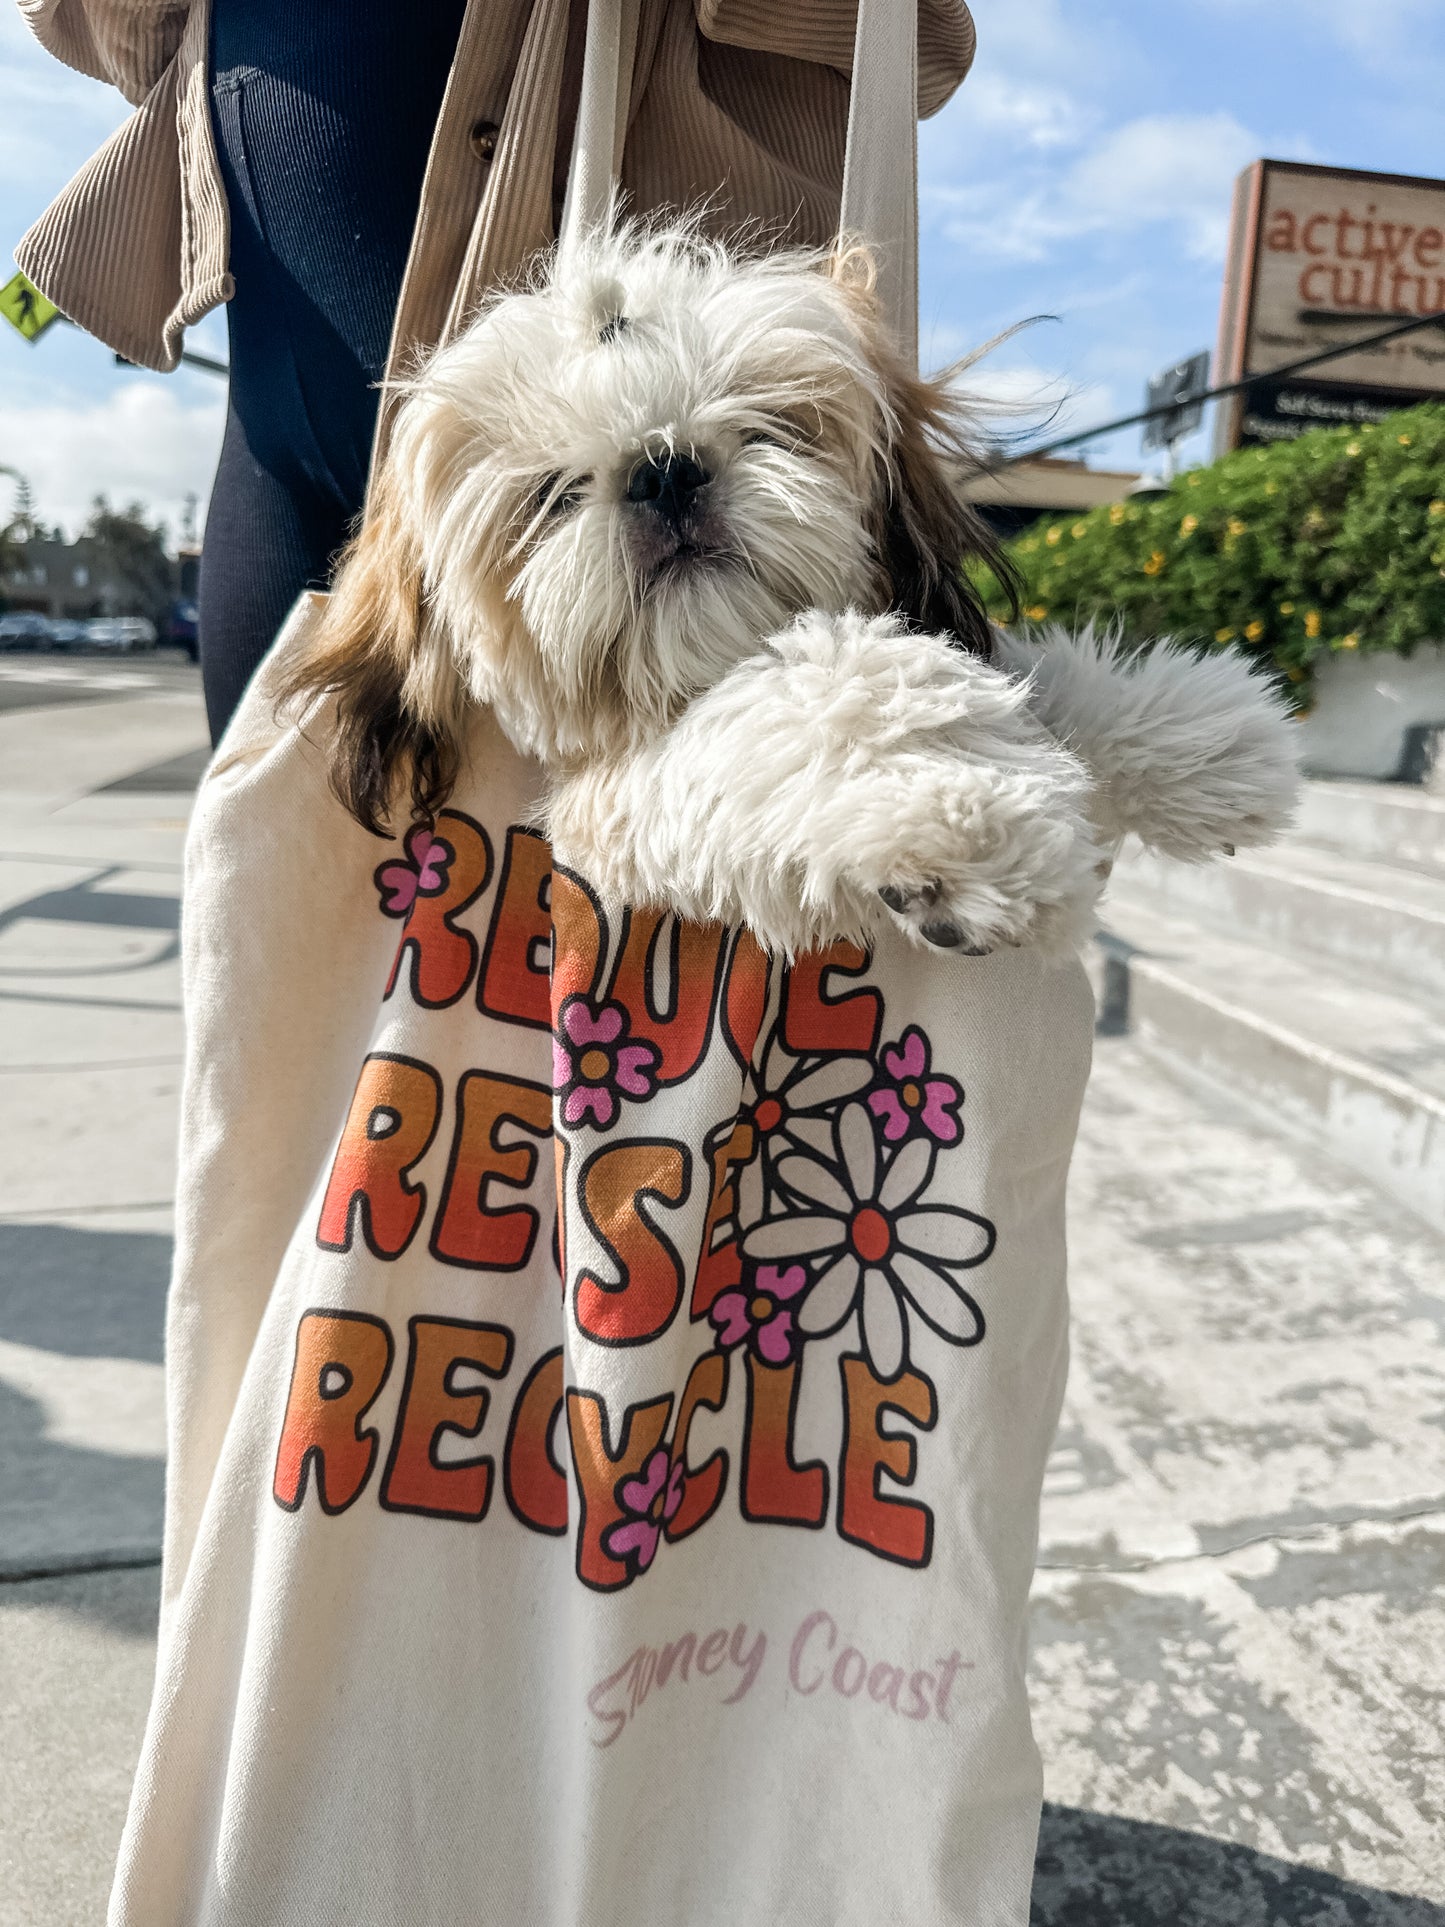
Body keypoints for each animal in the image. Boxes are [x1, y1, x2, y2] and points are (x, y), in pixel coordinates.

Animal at [279, 221, 1302, 959]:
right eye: (551, 494)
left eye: (769, 425)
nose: (664, 469)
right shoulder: (603, 801)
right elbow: (831, 690)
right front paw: (957, 813)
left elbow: (1019, 670)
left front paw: (1205, 741)